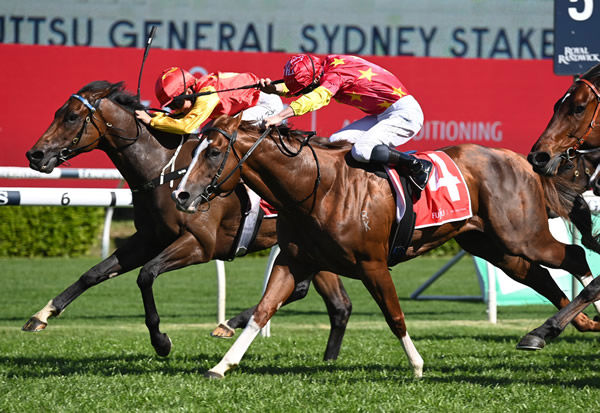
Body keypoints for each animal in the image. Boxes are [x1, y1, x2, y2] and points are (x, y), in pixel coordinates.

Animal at [23, 81, 352, 360]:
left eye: (72, 117)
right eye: (57, 113)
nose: (35, 155)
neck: (163, 171)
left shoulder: (200, 244)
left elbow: (146, 274)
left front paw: (161, 342)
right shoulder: (148, 238)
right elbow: (93, 274)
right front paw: (42, 314)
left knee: (316, 296)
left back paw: (230, 324)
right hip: (310, 247)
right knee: (335, 304)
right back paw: (324, 357)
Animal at [170, 114, 600, 378]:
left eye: (212, 152)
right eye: (193, 150)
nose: (181, 195)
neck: (316, 188)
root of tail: (523, 161)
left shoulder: (372, 264)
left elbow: (395, 316)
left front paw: (417, 365)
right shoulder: (294, 260)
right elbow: (261, 312)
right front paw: (222, 365)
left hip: (522, 235)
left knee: (573, 254)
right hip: (494, 246)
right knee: (541, 274)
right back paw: (564, 327)